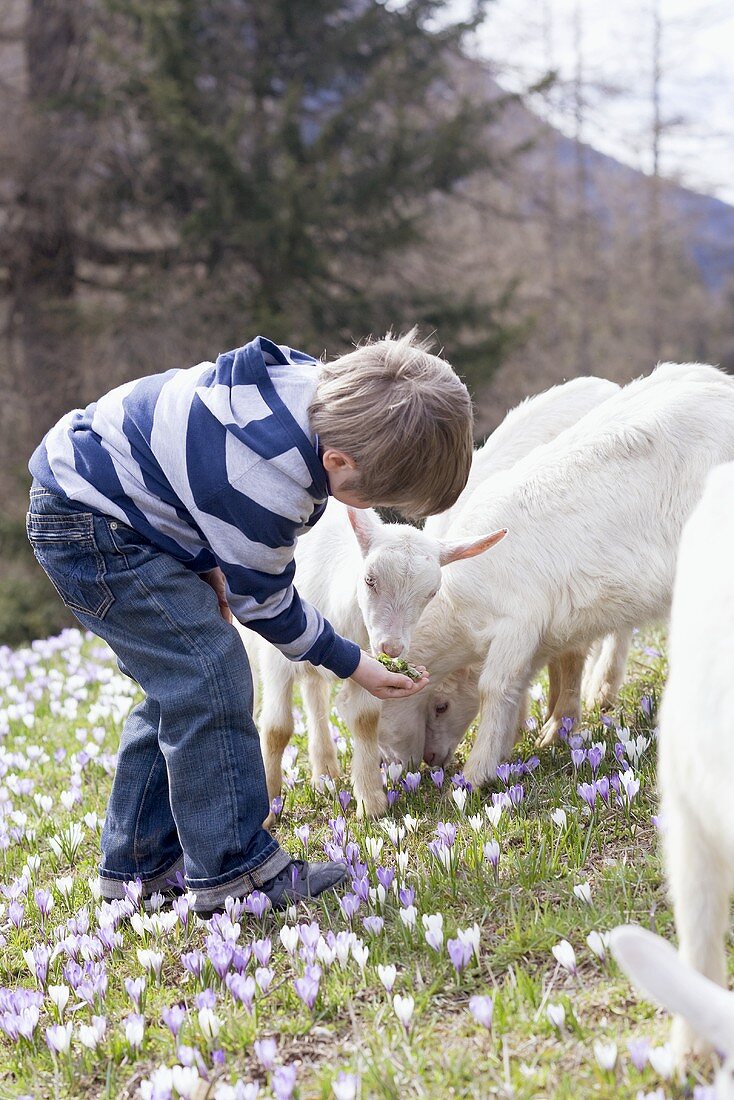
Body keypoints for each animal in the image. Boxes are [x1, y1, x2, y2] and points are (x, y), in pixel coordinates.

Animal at [378, 365, 734, 787]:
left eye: (441, 706)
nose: (429, 760)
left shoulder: (519, 621)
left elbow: (496, 685)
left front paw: (478, 772)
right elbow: (531, 677)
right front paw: (529, 737)